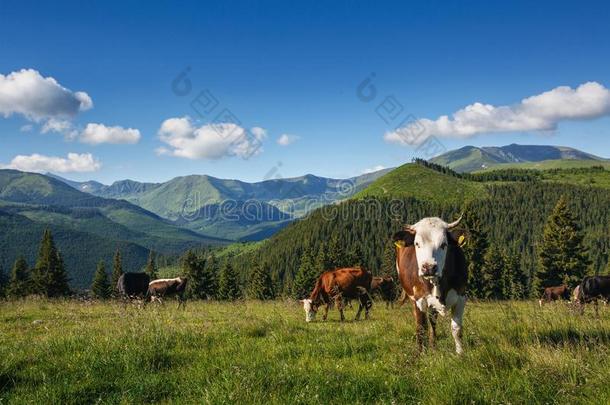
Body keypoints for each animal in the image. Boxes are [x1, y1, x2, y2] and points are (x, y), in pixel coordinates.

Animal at [392, 216, 468, 352]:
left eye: (444, 244)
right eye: (417, 244)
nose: (428, 268)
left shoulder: (461, 296)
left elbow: (457, 329)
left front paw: (460, 353)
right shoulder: (419, 299)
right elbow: (421, 328)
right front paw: (421, 353)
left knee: (433, 320)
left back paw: (433, 345)